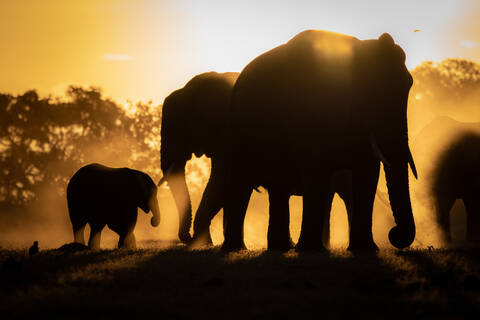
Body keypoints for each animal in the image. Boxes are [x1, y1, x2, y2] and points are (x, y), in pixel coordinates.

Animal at [224, 28, 416, 251]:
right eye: (372, 90)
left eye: (408, 85)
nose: (394, 234)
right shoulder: (310, 111)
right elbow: (316, 171)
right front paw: (311, 250)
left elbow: (368, 171)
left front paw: (366, 250)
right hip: (236, 130)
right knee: (241, 183)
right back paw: (237, 248)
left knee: (278, 186)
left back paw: (281, 247)